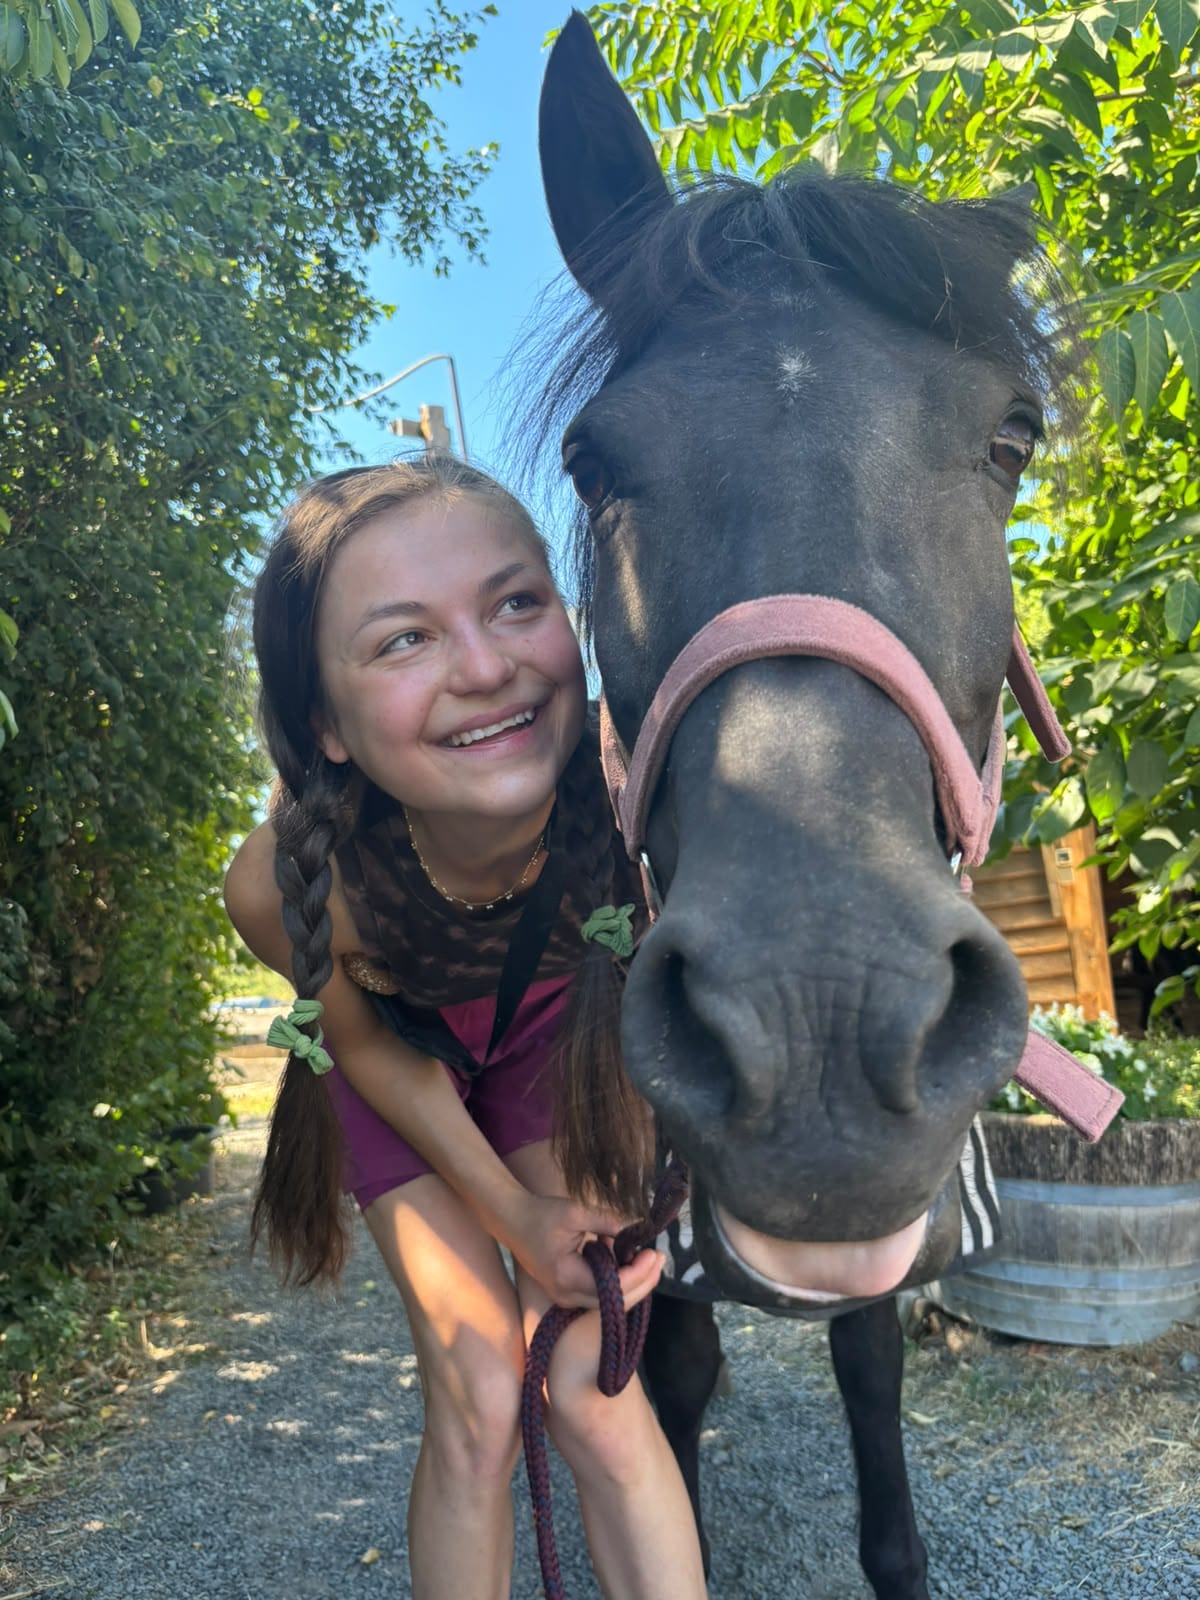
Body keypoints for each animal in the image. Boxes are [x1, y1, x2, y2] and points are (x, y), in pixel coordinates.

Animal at [534, 14, 1079, 1597]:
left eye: (1014, 437)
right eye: (594, 460)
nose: (820, 1018)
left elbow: (872, 1372)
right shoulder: (647, 1227)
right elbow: (670, 1377)